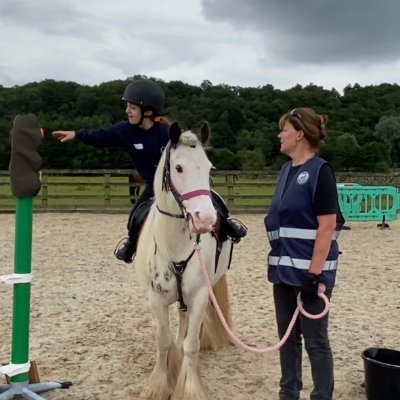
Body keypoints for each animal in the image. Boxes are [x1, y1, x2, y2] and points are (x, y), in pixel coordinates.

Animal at [135, 122, 233, 400]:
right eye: (178, 168)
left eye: (209, 167)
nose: (205, 219)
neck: (174, 245)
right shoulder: (156, 298)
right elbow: (163, 340)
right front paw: (158, 385)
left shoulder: (199, 295)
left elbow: (191, 344)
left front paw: (190, 388)